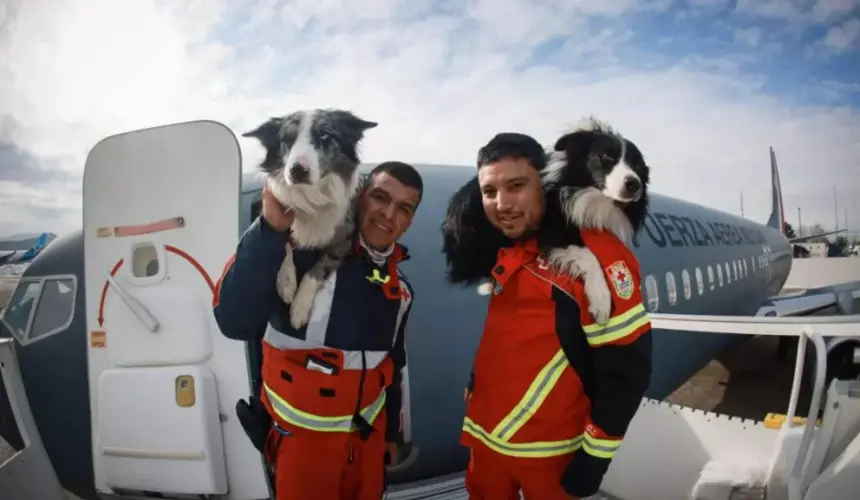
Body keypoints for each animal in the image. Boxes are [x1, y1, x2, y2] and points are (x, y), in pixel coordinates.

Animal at [242, 108, 376, 330]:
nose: (297, 170)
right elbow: (284, 242)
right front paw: (286, 282)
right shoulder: (278, 212)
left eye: (325, 136)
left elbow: (316, 270)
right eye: (287, 139)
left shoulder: (343, 240)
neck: (311, 196)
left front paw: (299, 308)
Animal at [440, 118, 648, 324]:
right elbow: (589, 255)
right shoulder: (553, 230)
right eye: (607, 156)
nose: (634, 185)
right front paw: (601, 300)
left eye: (637, 166)